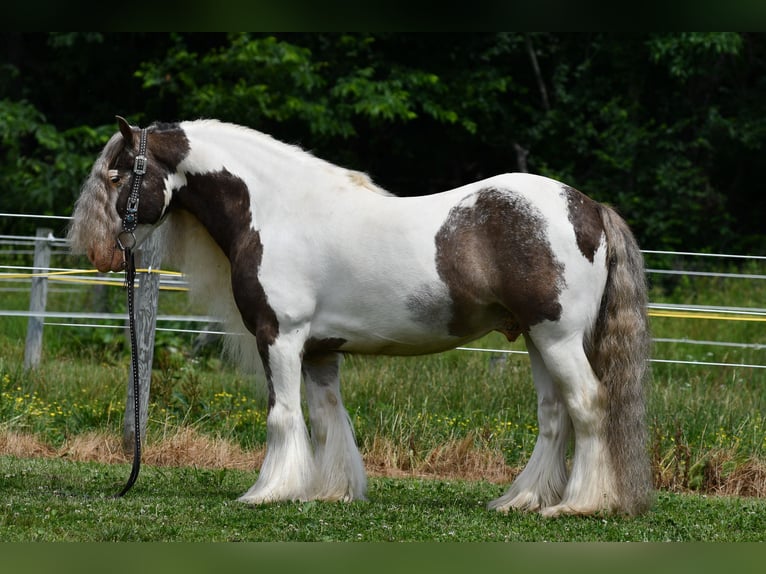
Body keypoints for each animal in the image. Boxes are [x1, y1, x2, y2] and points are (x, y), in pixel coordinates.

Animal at [67, 117, 653, 517]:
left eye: (118, 174)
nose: (99, 252)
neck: (277, 212)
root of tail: (589, 207)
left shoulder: (279, 337)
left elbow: (283, 415)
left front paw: (268, 492)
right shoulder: (319, 350)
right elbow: (328, 420)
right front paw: (331, 492)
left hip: (558, 338)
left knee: (588, 405)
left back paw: (578, 504)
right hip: (535, 339)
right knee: (554, 416)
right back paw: (522, 500)